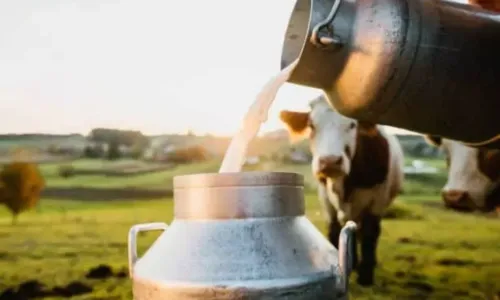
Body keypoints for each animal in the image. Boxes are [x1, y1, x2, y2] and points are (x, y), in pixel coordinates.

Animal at [280, 95, 404, 288]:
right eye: (311, 125)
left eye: (352, 125)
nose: (330, 161)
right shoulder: (325, 198)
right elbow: (334, 230)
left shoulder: (377, 200)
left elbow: (370, 233)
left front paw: (366, 275)